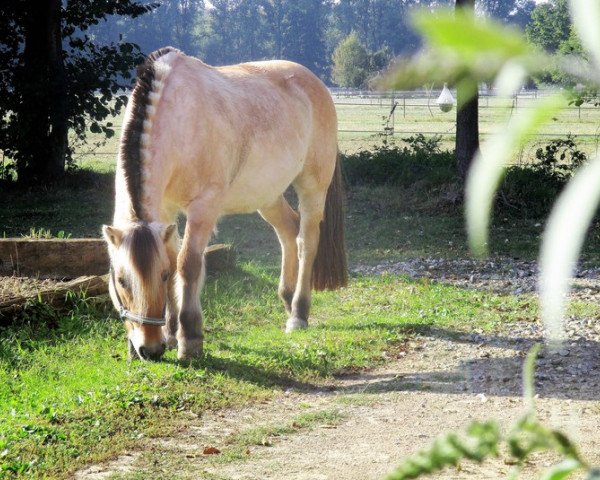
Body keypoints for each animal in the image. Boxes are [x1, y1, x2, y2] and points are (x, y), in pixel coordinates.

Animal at [102, 47, 346, 360]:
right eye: (121, 280)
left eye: (162, 275)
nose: (149, 349)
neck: (179, 119)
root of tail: (316, 85)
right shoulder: (165, 212)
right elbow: (173, 257)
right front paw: (171, 333)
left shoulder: (203, 209)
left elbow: (187, 264)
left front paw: (190, 338)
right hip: (266, 195)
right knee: (288, 231)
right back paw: (288, 299)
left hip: (313, 187)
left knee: (306, 241)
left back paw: (298, 315)